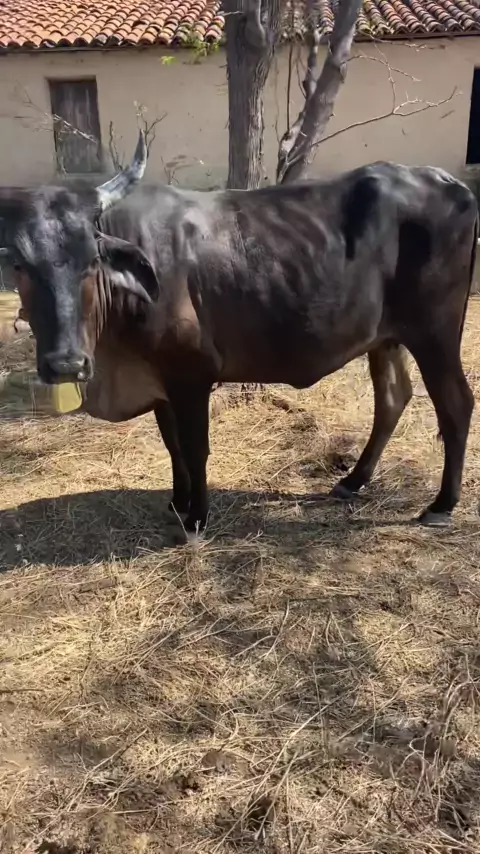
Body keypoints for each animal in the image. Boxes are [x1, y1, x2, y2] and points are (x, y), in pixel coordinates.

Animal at [0, 131, 477, 542]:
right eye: (20, 264)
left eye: (91, 261)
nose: (67, 363)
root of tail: (450, 183)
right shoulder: (160, 381)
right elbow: (172, 446)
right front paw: (177, 502)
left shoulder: (191, 376)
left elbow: (194, 448)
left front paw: (196, 517)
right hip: (385, 338)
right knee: (393, 399)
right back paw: (353, 480)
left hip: (434, 331)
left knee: (456, 403)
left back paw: (441, 504)